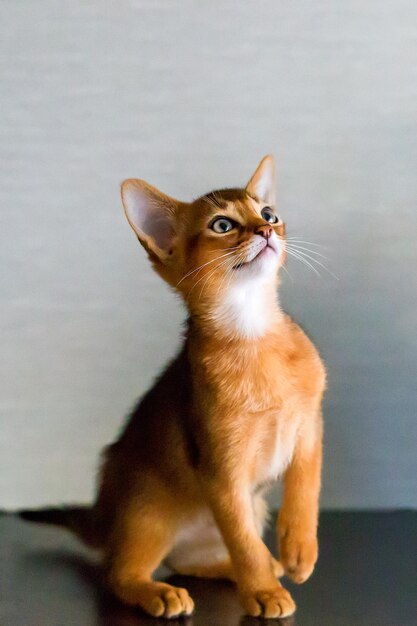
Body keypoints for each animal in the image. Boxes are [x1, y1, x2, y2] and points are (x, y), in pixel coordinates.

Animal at [20, 157, 324, 620]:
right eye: (222, 225)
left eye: (269, 213)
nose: (266, 231)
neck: (254, 335)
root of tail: (105, 519)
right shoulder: (221, 471)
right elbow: (243, 543)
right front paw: (263, 592)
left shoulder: (309, 426)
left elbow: (305, 489)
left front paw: (299, 549)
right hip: (148, 515)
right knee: (118, 573)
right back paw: (161, 592)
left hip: (245, 510)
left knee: (191, 561)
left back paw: (262, 565)